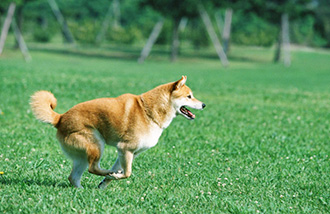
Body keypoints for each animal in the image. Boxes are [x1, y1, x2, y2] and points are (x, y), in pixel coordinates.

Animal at [31, 75, 206, 189]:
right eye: (189, 96)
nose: (204, 104)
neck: (149, 111)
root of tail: (60, 118)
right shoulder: (125, 148)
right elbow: (127, 173)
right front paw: (112, 175)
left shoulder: (127, 152)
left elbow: (120, 170)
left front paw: (106, 181)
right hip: (96, 143)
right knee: (92, 168)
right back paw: (104, 172)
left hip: (82, 155)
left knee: (73, 176)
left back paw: (82, 189)